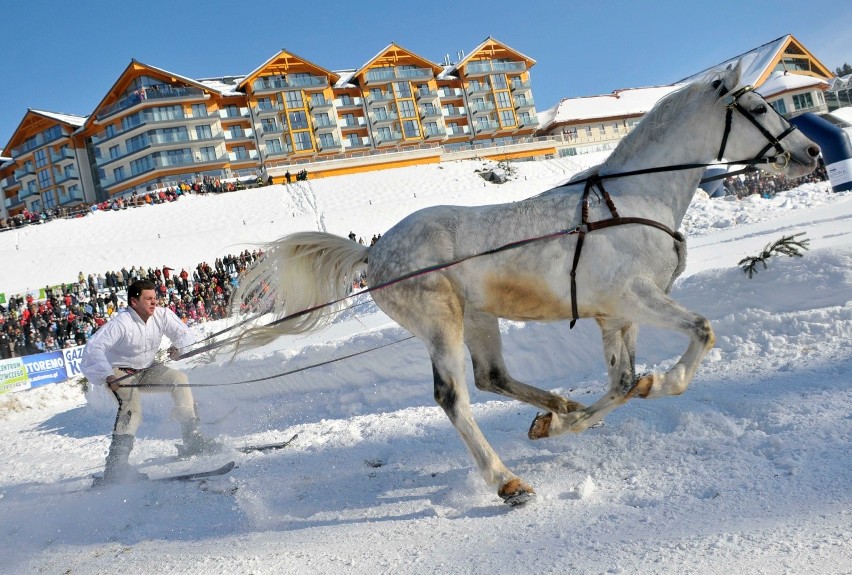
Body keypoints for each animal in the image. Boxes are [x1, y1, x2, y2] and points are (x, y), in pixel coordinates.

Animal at [231, 62, 820, 504]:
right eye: (759, 108)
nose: (811, 152)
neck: (633, 199)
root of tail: (373, 251)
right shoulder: (635, 298)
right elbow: (697, 333)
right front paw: (660, 384)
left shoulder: (616, 314)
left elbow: (622, 382)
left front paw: (560, 424)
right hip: (441, 323)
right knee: (454, 396)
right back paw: (507, 481)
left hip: (479, 317)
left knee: (492, 376)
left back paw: (558, 406)